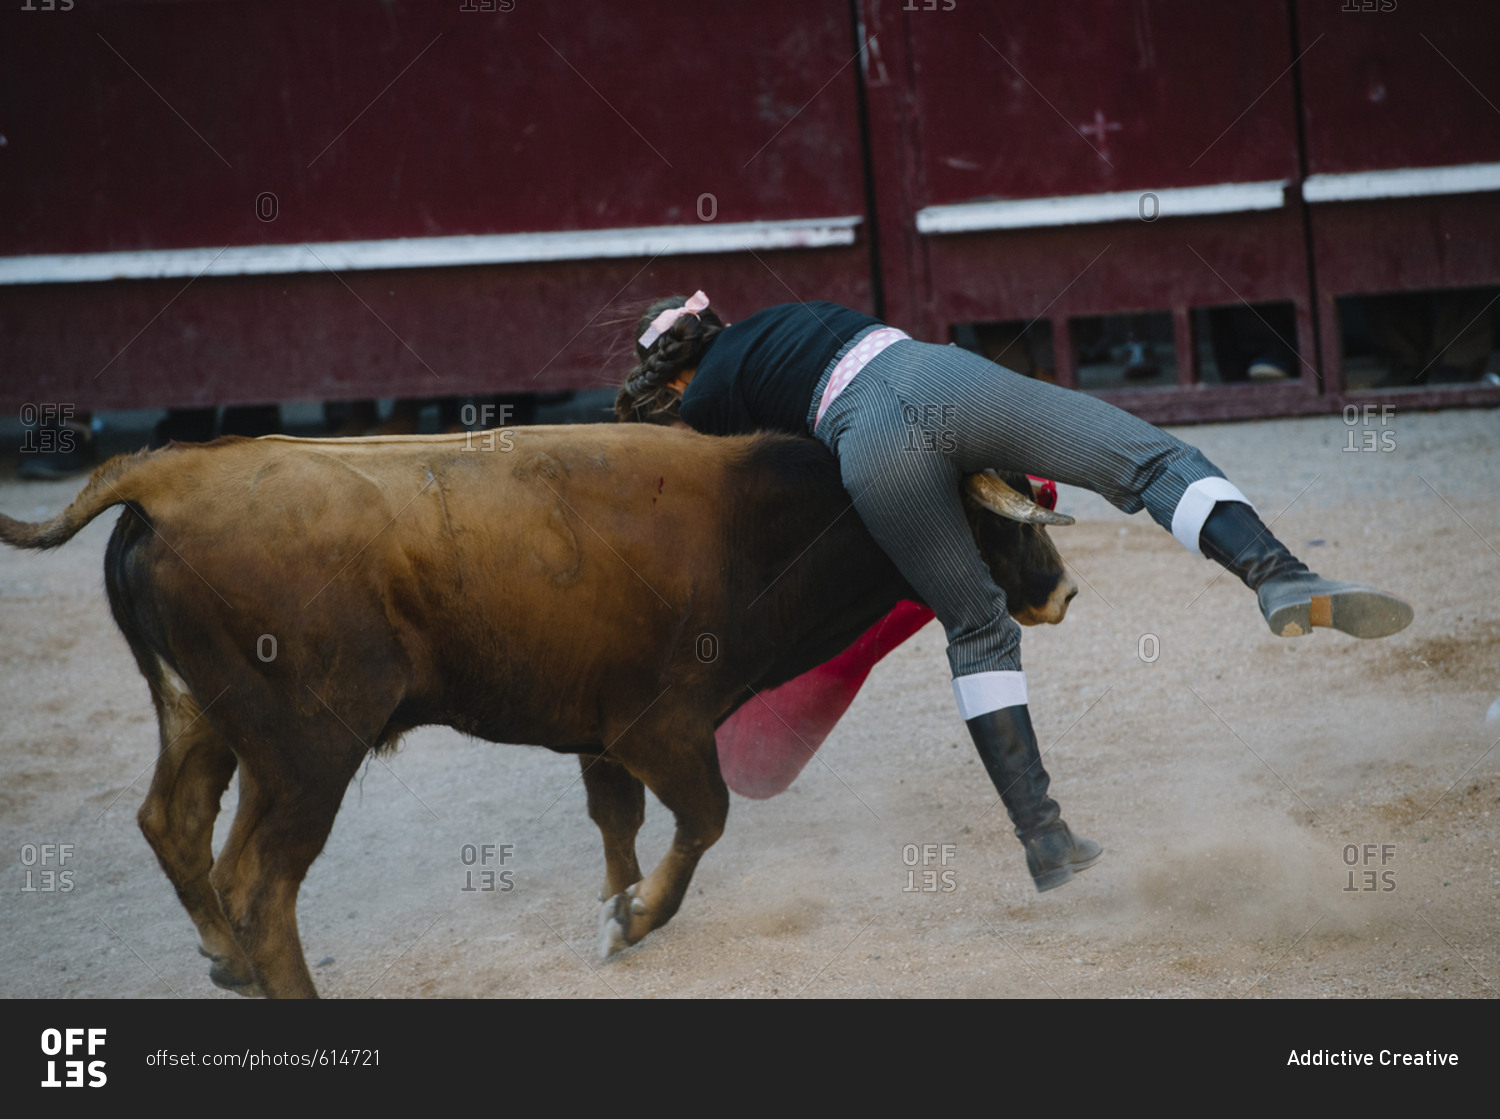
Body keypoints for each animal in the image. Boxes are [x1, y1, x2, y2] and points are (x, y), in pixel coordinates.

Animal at [2, 426, 1080, 996]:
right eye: (990, 512)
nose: (1061, 591)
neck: (756, 527)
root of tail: (166, 474)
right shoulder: (665, 727)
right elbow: (704, 818)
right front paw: (632, 919)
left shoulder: (600, 734)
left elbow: (618, 821)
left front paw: (615, 903)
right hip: (307, 750)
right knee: (258, 881)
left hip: (202, 719)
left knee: (175, 825)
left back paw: (226, 962)